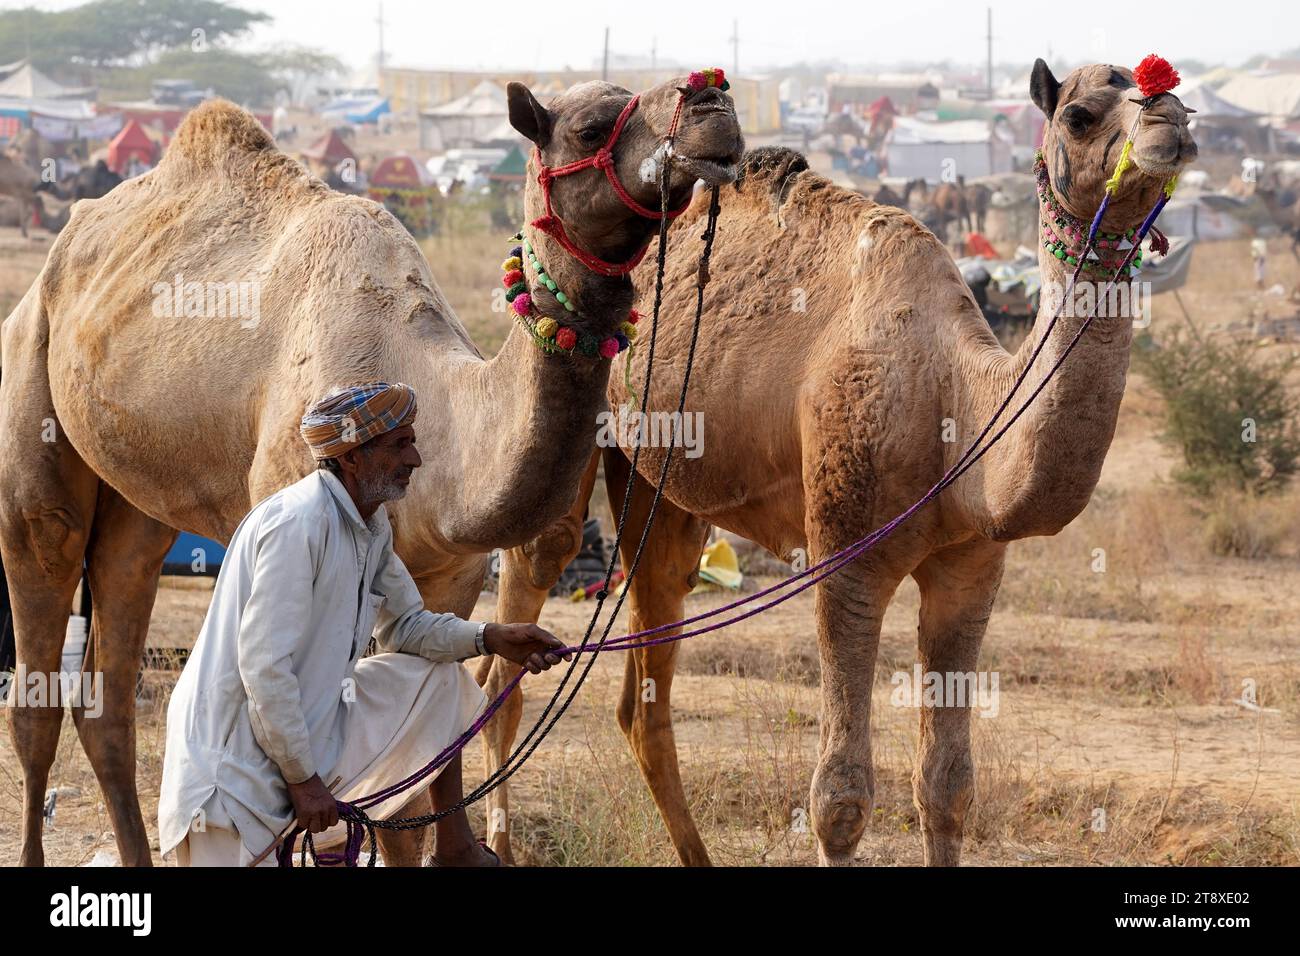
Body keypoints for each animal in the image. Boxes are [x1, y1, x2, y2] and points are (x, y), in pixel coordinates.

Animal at [0, 77, 744, 866]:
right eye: (592, 127)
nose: (713, 102)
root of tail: (57, 259)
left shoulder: (450, 569)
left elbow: (425, 754)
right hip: (31, 388)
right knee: (39, 636)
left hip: (135, 502)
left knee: (109, 669)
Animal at [480, 60, 1197, 866]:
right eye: (1079, 114)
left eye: (1175, 93)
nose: (1168, 121)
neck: (956, 399)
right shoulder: (845, 552)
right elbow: (841, 797)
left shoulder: (971, 569)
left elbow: (948, 785)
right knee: (518, 624)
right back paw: (498, 839)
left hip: (661, 493)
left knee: (645, 679)